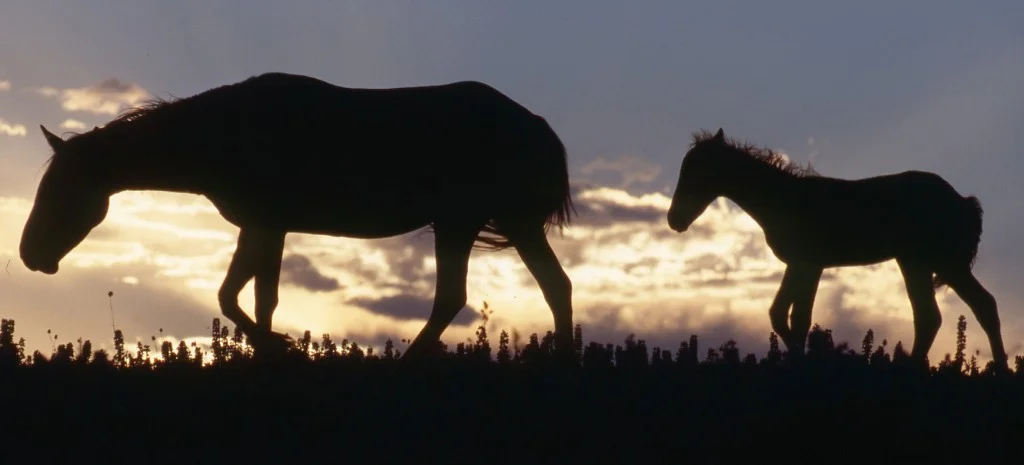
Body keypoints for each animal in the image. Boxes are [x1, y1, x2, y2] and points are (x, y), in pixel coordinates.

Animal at [19, 72, 578, 362]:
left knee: (454, 297)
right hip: (506, 224)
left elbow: (253, 298)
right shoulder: (259, 225)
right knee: (554, 287)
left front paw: (278, 350)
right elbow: (239, 295)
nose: (28, 255)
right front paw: (275, 348)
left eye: (62, 191)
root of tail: (541, 129)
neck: (223, 135)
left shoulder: (270, 223)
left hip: (462, 221)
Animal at [666, 128, 1009, 372]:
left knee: (954, 311)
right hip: (927, 264)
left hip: (932, 262)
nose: (674, 220)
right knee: (958, 311)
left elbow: (798, 318)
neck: (784, 199)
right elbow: (781, 315)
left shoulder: (809, 264)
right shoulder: (799, 265)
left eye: (697, 172)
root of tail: (962, 200)